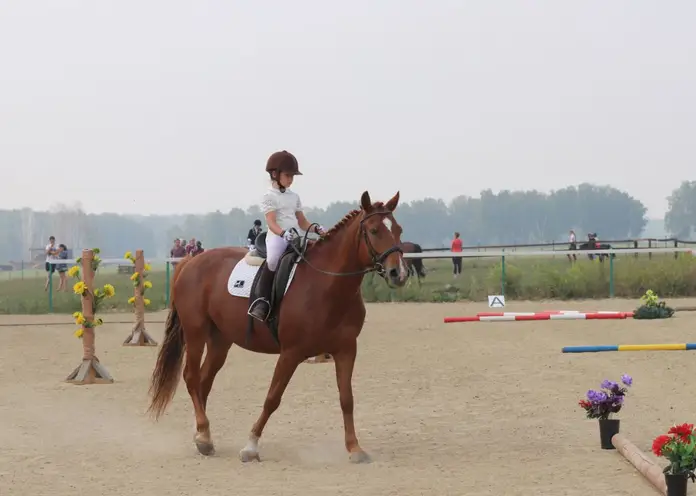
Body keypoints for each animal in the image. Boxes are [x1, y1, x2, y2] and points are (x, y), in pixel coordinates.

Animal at [147, 191, 408, 464]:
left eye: (398, 229)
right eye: (375, 230)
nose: (398, 273)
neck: (327, 285)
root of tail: (190, 261)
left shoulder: (346, 350)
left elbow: (347, 399)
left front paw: (355, 448)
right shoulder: (291, 353)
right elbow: (272, 398)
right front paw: (251, 447)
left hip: (220, 340)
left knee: (204, 381)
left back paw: (202, 435)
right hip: (196, 332)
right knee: (191, 378)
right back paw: (204, 436)